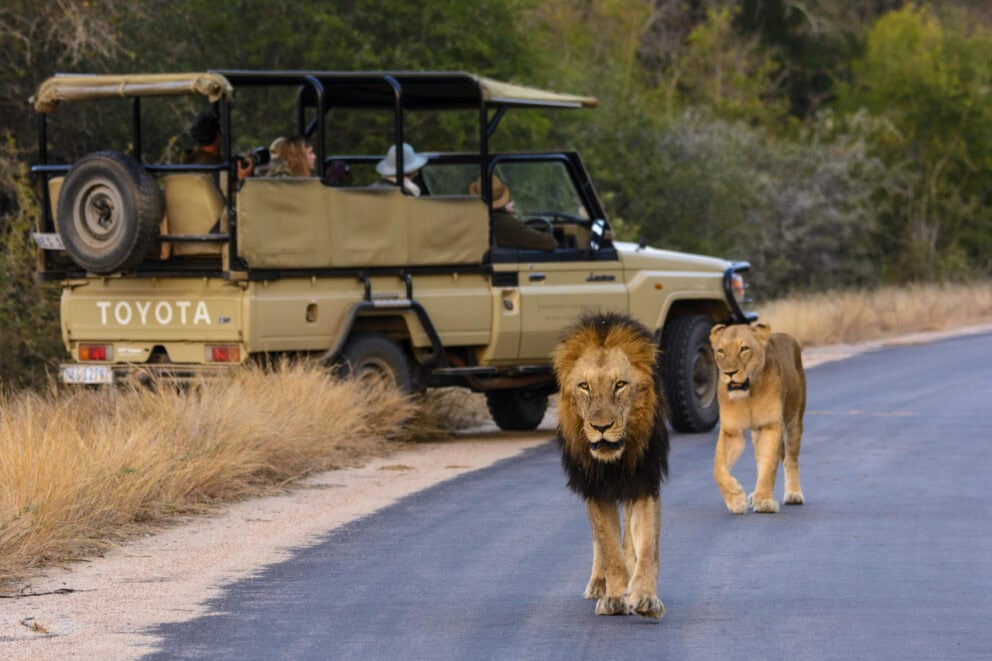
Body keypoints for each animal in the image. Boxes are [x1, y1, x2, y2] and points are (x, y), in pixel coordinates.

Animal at [552, 312, 670, 619]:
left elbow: (647, 548)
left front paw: (644, 598)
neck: (614, 462)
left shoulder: (644, 482)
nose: (601, 427)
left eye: (620, 385)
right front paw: (614, 597)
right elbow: (608, 548)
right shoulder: (594, 489)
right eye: (584, 386)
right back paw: (598, 584)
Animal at [709, 321, 806, 514]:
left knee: (790, 459)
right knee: (760, 459)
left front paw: (764, 502)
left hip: (794, 422)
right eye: (721, 351)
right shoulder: (732, 432)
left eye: (744, 349)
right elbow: (718, 468)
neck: (748, 395)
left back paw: (793, 494)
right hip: (756, 432)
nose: (729, 373)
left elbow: (769, 466)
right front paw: (735, 498)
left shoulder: (772, 426)